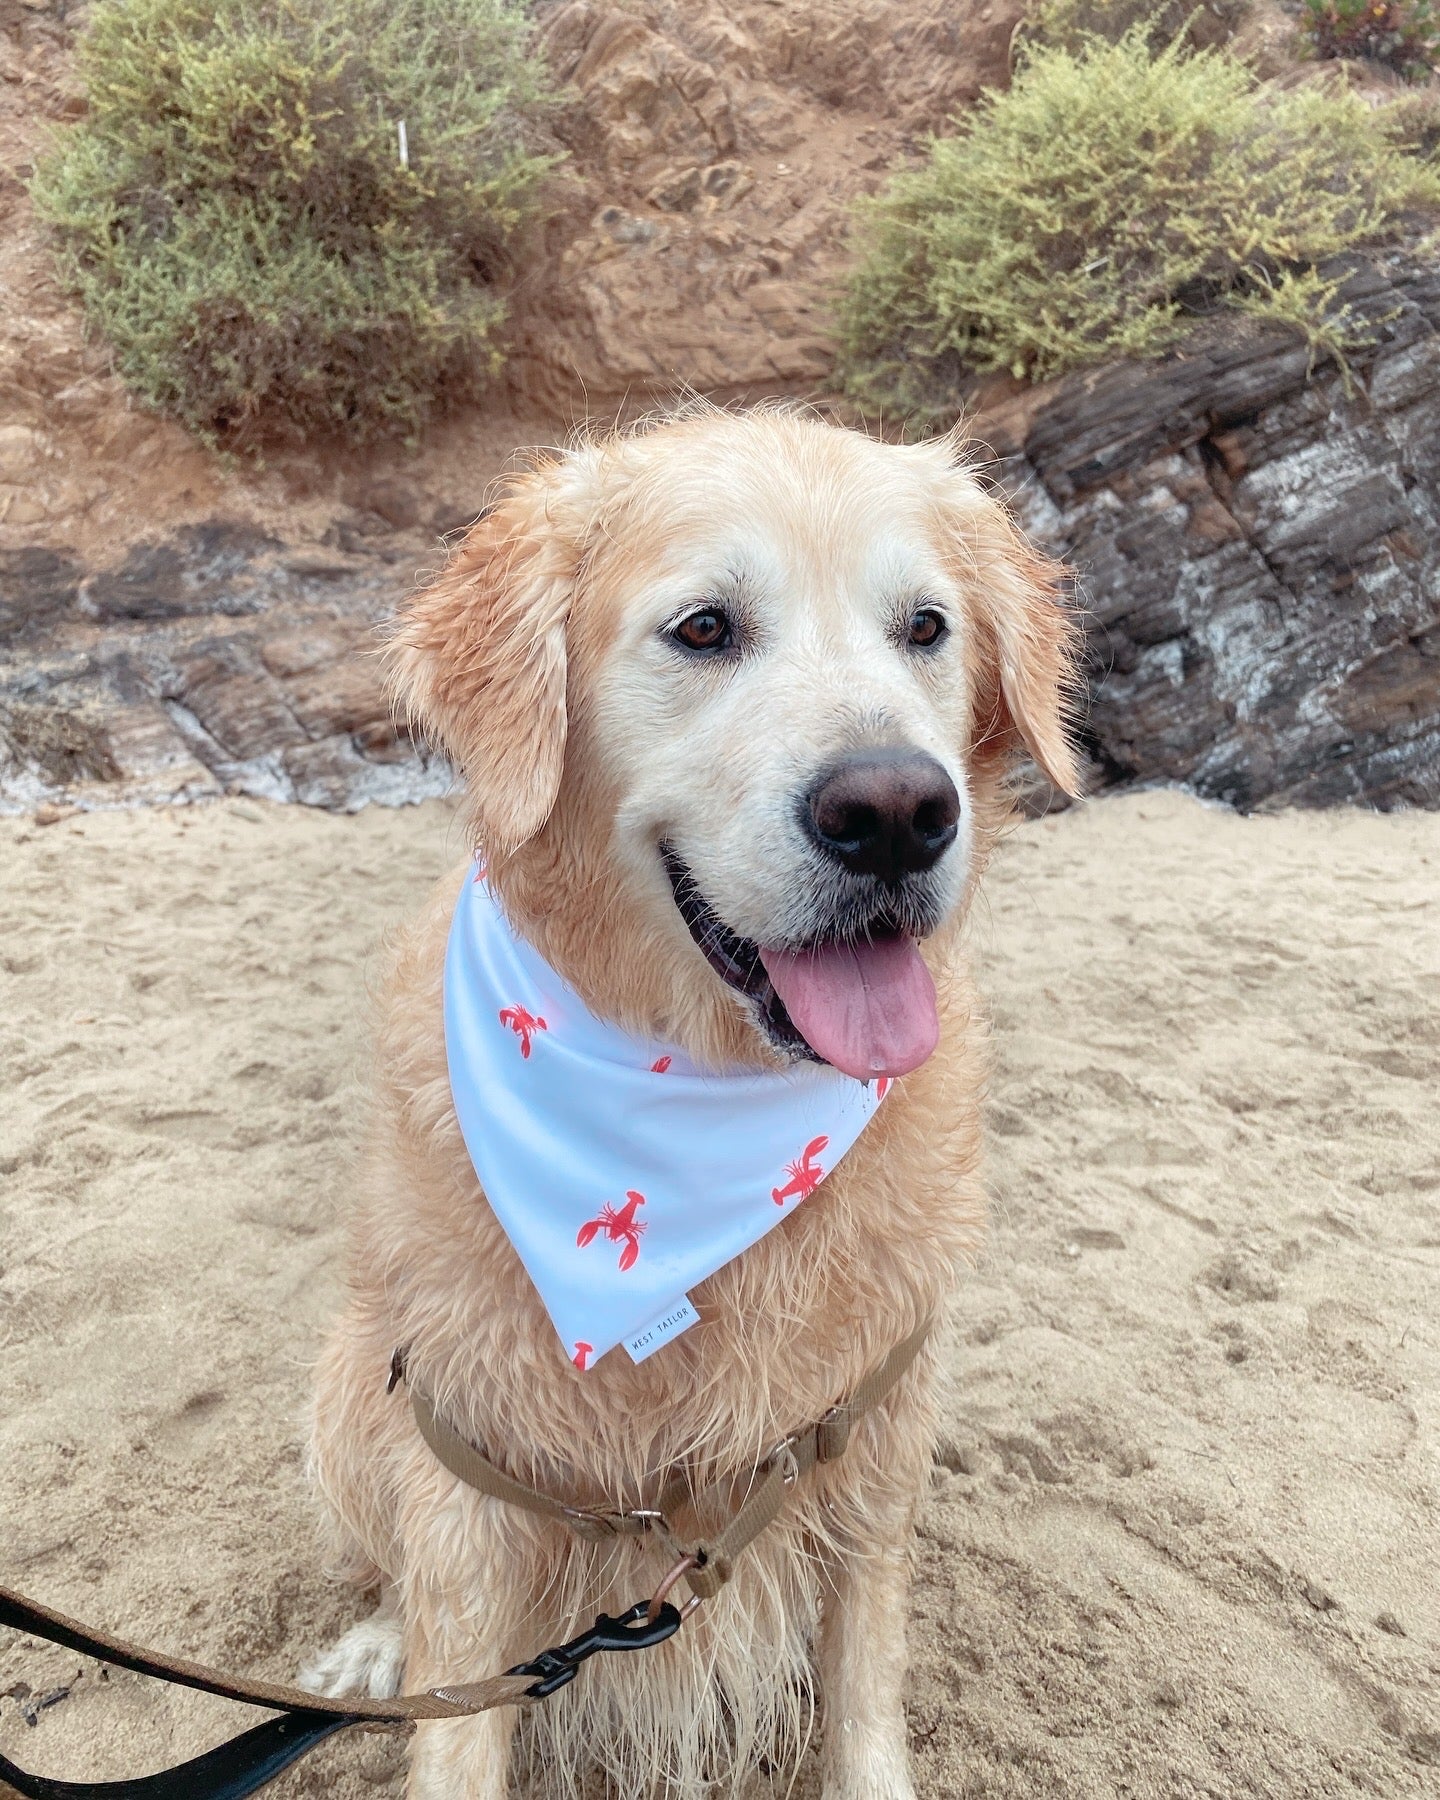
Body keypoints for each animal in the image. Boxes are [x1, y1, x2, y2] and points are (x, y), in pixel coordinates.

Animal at [304, 408, 1072, 1800]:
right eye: (705, 627)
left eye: (926, 626)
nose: (898, 813)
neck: (702, 1101)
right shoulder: (472, 1470)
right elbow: (457, 1705)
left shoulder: (872, 1434)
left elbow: (863, 1684)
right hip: (351, 1391)